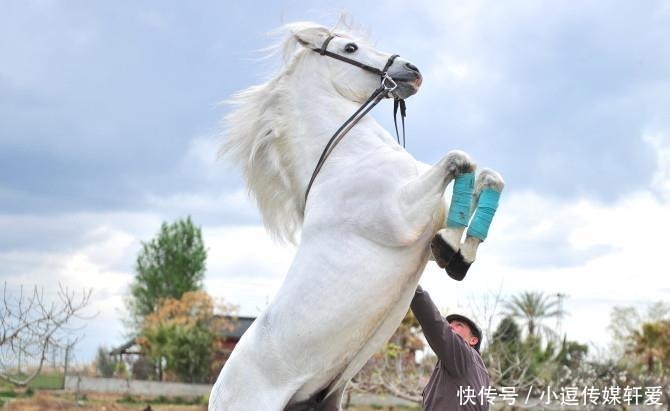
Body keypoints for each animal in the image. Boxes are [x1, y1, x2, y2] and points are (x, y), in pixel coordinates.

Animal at [209, 21, 504, 411]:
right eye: (350, 48)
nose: (412, 70)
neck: (347, 159)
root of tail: (218, 394)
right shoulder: (403, 215)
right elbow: (460, 159)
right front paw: (452, 252)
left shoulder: (430, 219)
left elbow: (487, 177)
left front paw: (459, 255)